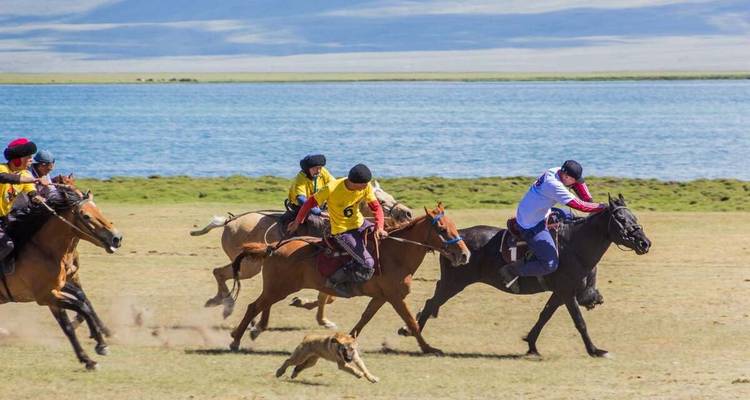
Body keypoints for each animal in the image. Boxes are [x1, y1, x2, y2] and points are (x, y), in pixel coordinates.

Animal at [0, 185, 122, 370]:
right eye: (85, 216)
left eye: (98, 209)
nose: (116, 238)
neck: (43, 251)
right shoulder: (46, 296)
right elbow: (82, 306)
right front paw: (100, 342)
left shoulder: (55, 293)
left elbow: (70, 324)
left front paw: (88, 358)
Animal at [193, 180, 413, 328]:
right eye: (381, 201)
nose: (408, 213)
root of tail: (229, 221)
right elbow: (326, 296)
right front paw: (312, 310)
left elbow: (327, 296)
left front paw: (316, 314)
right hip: (250, 266)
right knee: (222, 272)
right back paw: (226, 304)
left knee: (221, 272)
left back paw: (224, 303)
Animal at [227, 203, 470, 355]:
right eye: (441, 229)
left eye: (453, 227)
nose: (464, 255)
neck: (396, 253)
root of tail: (273, 247)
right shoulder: (396, 297)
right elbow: (412, 322)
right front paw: (428, 348)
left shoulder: (382, 297)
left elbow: (365, 318)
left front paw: (349, 340)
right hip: (278, 289)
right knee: (253, 307)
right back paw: (237, 339)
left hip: (277, 289)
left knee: (259, 306)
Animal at [399, 194, 650, 357]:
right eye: (621, 220)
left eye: (634, 217)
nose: (644, 243)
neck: (574, 246)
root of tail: (455, 239)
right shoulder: (567, 292)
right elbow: (579, 322)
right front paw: (595, 350)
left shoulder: (559, 293)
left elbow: (544, 316)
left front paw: (531, 344)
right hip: (454, 283)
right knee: (431, 303)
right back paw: (413, 332)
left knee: (432, 302)